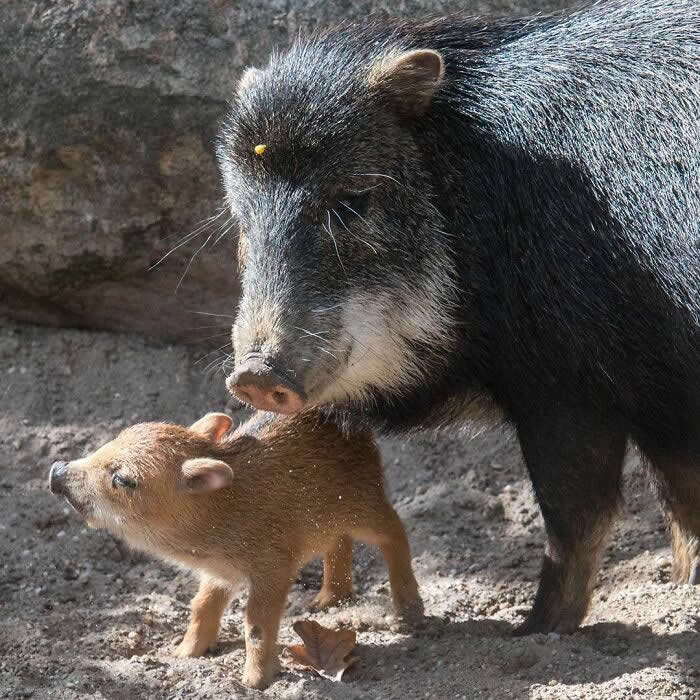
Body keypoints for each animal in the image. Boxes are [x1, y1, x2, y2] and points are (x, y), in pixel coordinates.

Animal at [48, 411, 423, 689]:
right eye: (110, 443)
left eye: (123, 479)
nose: (56, 470)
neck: (219, 515)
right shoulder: (219, 573)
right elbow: (201, 605)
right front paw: (184, 654)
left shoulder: (273, 568)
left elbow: (255, 624)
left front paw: (254, 683)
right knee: (338, 541)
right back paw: (325, 602)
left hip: (366, 503)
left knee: (395, 532)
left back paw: (408, 614)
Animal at [218, 0, 700, 635]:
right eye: (242, 220)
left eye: (353, 201)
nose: (253, 376)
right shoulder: (647, 395)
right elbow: (680, 499)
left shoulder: (566, 383)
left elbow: (577, 518)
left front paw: (533, 631)